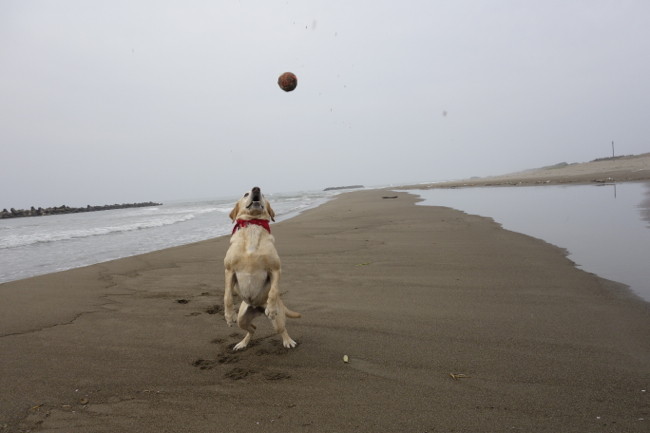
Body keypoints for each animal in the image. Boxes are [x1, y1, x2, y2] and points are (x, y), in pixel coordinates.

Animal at [224, 184, 300, 350]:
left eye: (263, 195)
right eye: (246, 194)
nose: (256, 189)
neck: (253, 224)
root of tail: (257, 307)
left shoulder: (275, 269)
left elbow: (273, 291)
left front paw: (271, 309)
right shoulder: (229, 270)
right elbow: (227, 296)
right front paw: (229, 315)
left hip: (277, 322)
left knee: (282, 329)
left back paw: (288, 340)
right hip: (242, 319)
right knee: (253, 329)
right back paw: (242, 343)